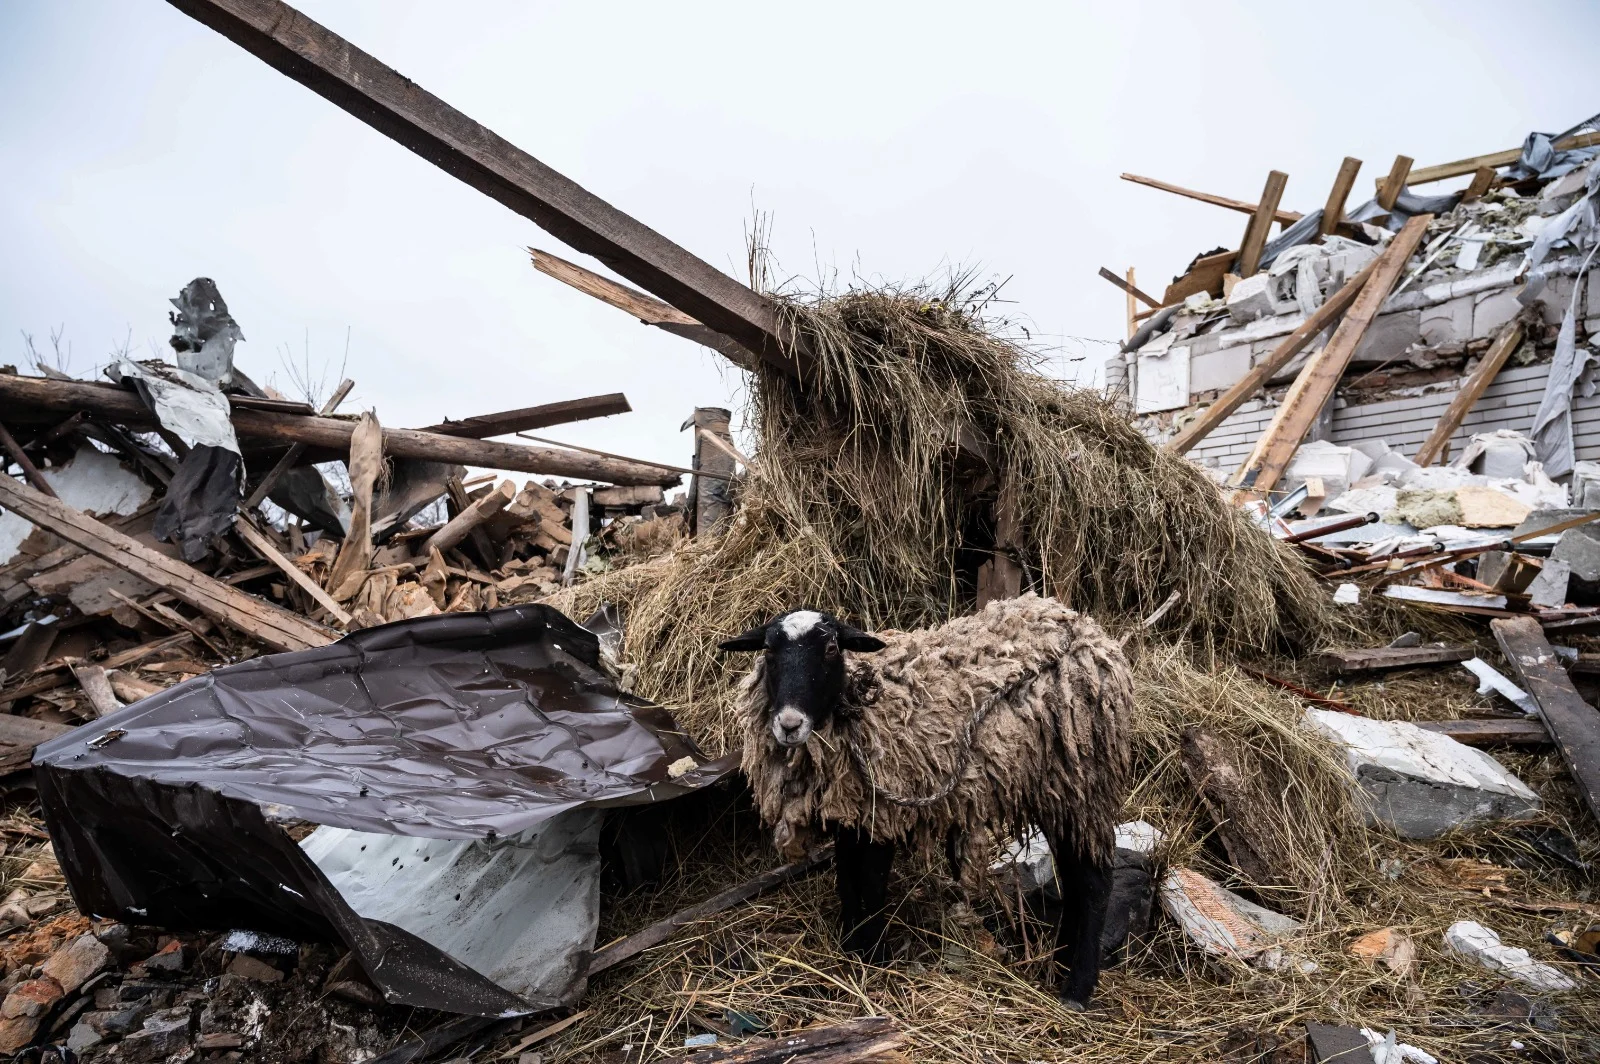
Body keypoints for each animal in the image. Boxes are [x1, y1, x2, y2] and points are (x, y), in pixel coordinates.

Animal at [726, 592, 1139, 1011]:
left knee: (1094, 881)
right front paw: (850, 949)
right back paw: (1059, 963)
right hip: (1056, 790)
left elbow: (871, 886)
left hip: (1084, 781)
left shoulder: (885, 814)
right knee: (1073, 876)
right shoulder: (850, 816)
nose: (789, 724)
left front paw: (873, 957)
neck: (858, 711)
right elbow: (847, 882)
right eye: (769, 651)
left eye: (830, 649)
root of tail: (1084, 627)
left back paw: (1077, 988)